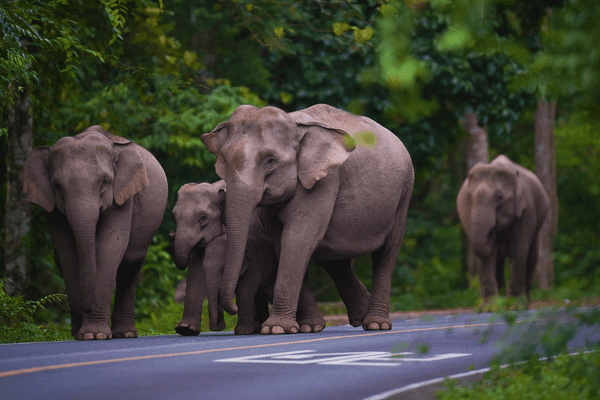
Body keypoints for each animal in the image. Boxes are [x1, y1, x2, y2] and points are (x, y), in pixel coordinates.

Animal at [22, 126, 168, 340]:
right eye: (57, 186)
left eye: (104, 182)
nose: (87, 308)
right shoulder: (54, 209)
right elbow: (67, 252)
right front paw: (82, 334)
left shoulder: (123, 197)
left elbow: (110, 247)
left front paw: (94, 335)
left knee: (130, 267)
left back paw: (126, 333)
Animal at [200, 104, 412, 334]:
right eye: (225, 161)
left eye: (270, 161)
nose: (233, 307)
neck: (293, 123)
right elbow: (283, 243)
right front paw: (309, 327)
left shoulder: (325, 181)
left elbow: (297, 239)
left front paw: (276, 329)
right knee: (334, 261)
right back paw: (361, 317)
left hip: (403, 193)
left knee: (386, 253)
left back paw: (376, 324)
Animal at [458, 154, 552, 304]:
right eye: (470, 197)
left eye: (499, 197)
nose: (492, 231)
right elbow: (488, 257)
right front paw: (490, 306)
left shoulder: (526, 211)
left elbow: (518, 250)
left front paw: (514, 305)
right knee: (499, 262)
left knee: (532, 257)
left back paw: (526, 301)